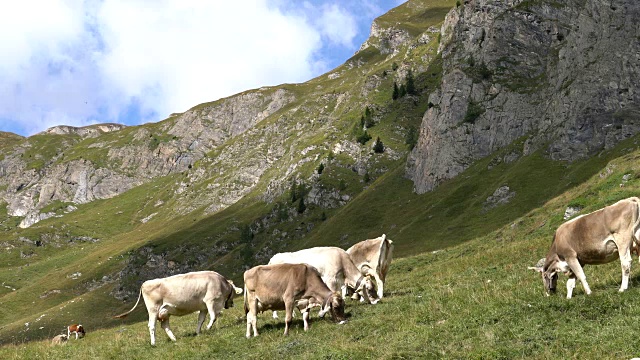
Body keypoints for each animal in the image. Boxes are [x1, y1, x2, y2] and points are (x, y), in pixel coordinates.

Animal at [112, 270, 242, 346]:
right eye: (233, 294)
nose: (232, 304)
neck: (221, 284)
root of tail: (145, 283)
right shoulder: (210, 301)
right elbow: (214, 316)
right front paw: (208, 328)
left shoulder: (203, 307)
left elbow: (200, 320)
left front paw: (198, 332)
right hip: (153, 310)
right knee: (152, 326)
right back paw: (153, 343)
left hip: (164, 311)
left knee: (165, 326)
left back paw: (174, 339)